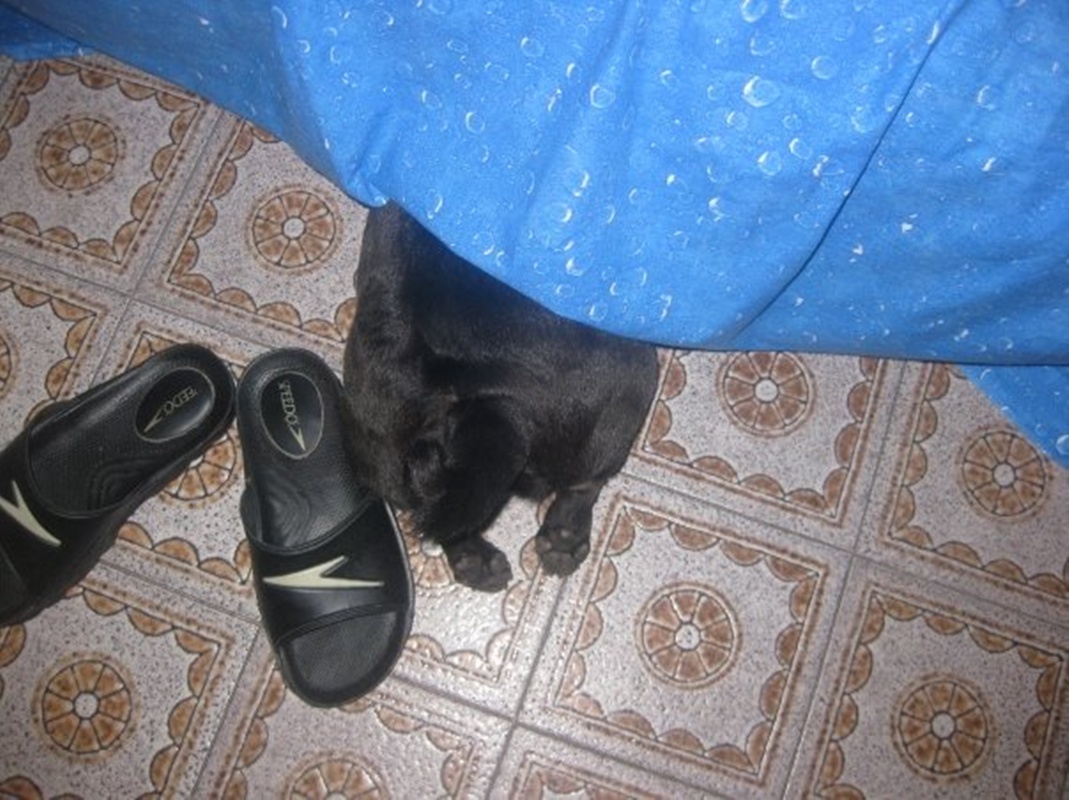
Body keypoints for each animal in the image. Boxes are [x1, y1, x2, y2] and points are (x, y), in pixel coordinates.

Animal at [341, 203, 659, 591]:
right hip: (629, 383)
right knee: (584, 482)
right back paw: (565, 536)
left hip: (382, 451)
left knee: (442, 510)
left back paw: (473, 557)